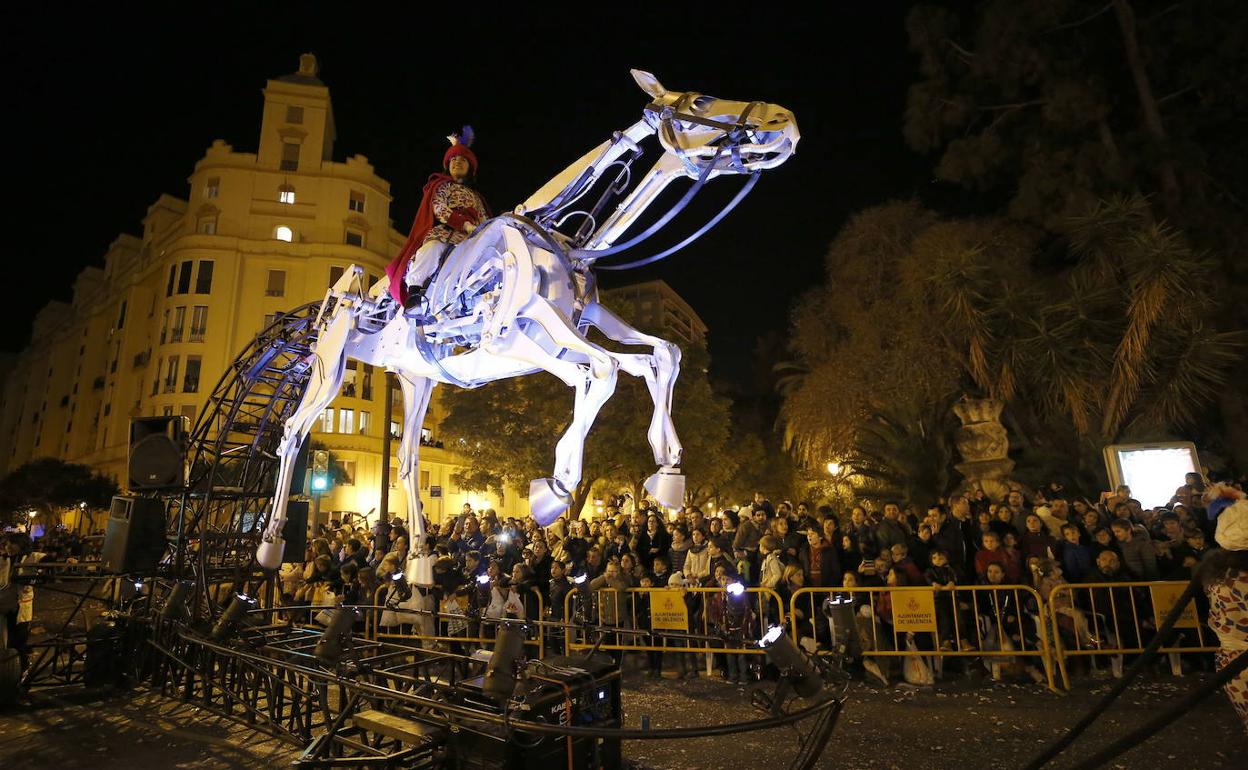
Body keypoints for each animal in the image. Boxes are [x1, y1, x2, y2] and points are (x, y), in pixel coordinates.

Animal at [258, 70, 798, 564]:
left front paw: (667, 472)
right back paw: (270, 545)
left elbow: (658, 355)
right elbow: (602, 370)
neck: (566, 246)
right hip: (330, 365)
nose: (783, 122)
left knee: (408, 460)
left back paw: (419, 561)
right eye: (700, 98)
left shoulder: (579, 326)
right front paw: (553, 490)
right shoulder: (513, 338)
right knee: (293, 433)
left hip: (416, 378)